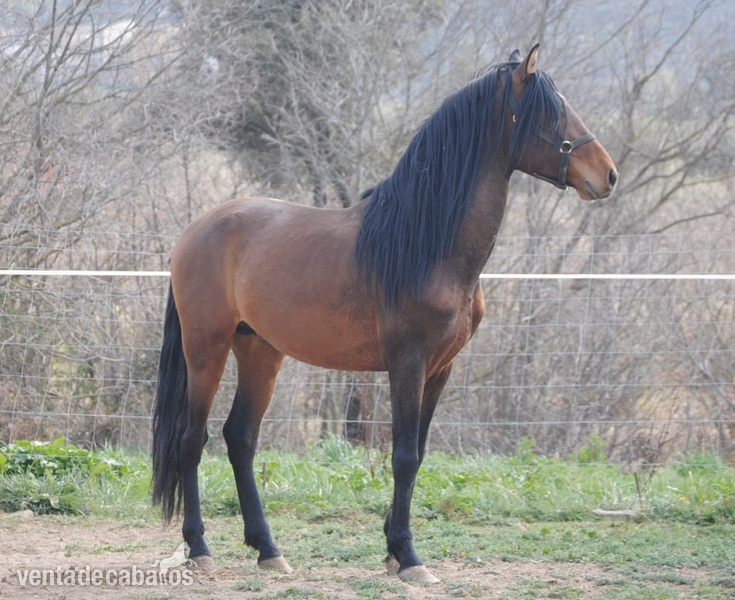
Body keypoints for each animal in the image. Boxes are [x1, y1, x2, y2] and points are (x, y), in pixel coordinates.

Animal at [152, 45, 617, 584]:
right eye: (551, 112)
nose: (607, 175)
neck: (426, 242)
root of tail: (195, 231)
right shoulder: (407, 364)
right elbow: (404, 456)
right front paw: (409, 557)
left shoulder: (439, 370)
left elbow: (418, 454)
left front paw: (395, 551)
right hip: (206, 348)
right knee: (191, 438)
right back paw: (200, 547)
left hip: (260, 351)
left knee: (240, 438)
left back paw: (268, 549)